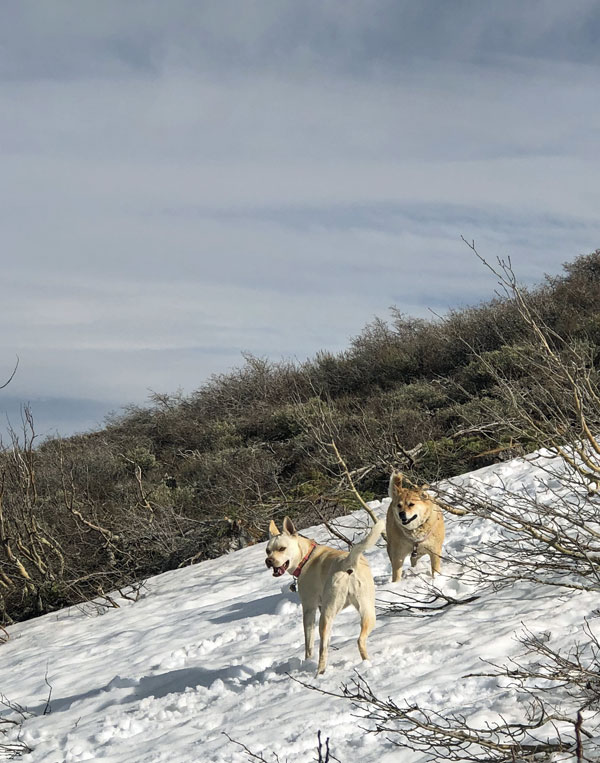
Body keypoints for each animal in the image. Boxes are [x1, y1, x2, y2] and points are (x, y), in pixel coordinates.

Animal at [266, 520, 384, 676]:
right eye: (267, 550)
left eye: (282, 548)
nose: (268, 561)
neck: (306, 557)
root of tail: (347, 563)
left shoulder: (309, 609)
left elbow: (309, 644)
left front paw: (307, 661)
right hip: (368, 611)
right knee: (360, 640)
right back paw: (367, 663)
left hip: (326, 616)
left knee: (322, 649)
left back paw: (320, 673)